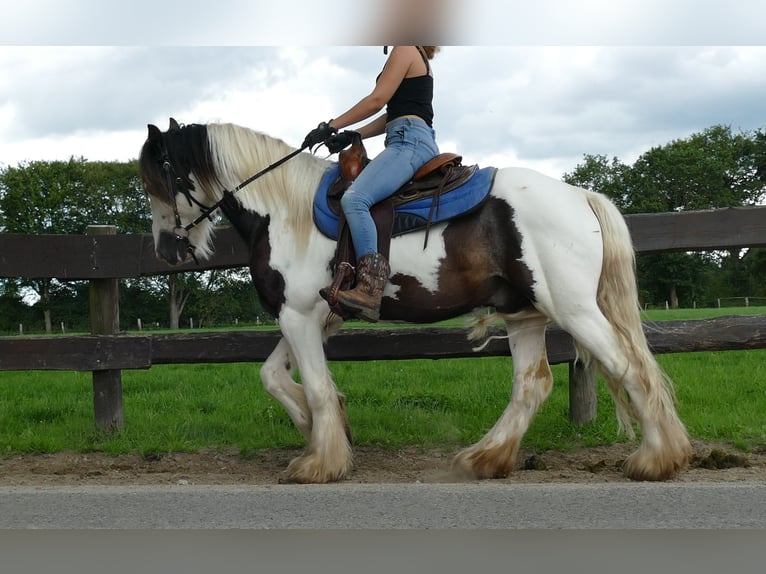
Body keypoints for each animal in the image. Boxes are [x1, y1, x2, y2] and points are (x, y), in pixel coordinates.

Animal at [140, 118, 696, 486]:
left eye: (160, 177)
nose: (167, 249)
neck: (284, 212)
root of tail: (580, 195)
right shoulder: (310, 317)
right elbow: (276, 377)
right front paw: (327, 429)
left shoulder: (298, 316)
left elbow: (314, 386)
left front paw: (320, 461)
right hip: (523, 313)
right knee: (533, 384)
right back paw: (485, 458)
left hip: (573, 308)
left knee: (629, 367)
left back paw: (657, 459)